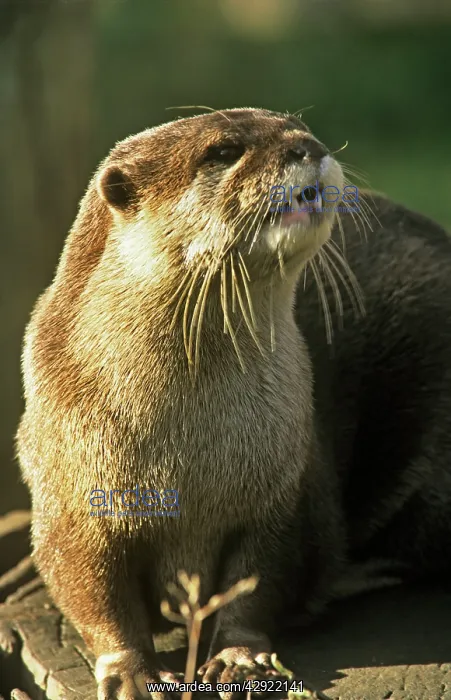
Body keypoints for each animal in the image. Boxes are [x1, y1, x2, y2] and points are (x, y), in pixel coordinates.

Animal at [16, 108, 451, 700]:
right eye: (222, 151)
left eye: (293, 122)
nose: (308, 145)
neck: (191, 460)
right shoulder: (72, 492)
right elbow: (90, 589)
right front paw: (131, 671)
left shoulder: (283, 491)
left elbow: (261, 579)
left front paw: (239, 658)